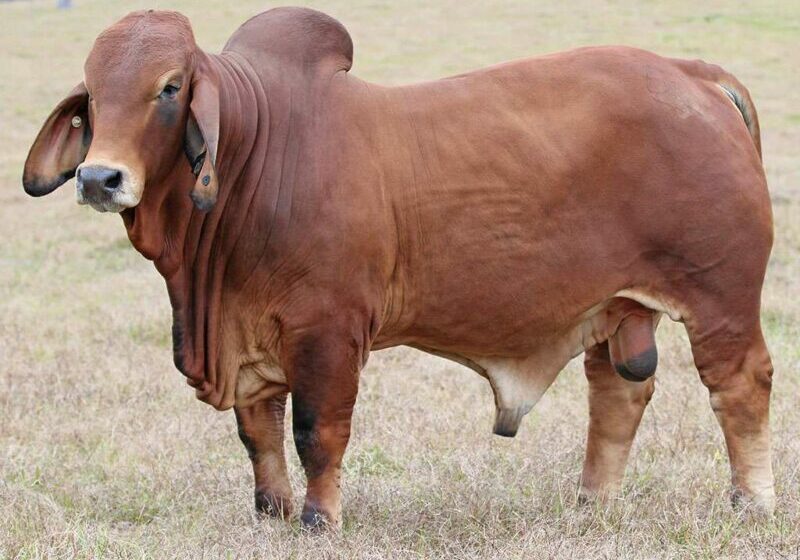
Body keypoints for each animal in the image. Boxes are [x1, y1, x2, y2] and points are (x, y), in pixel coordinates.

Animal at [23, 7, 774, 529]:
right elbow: (257, 432)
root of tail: (692, 73)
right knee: (618, 392)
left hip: (721, 297)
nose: (98, 178)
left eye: (170, 87)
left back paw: (752, 502)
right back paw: (592, 504)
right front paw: (272, 511)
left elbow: (317, 431)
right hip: (617, 305)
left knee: (740, 386)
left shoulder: (328, 332)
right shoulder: (250, 337)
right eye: (92, 96)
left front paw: (319, 520)